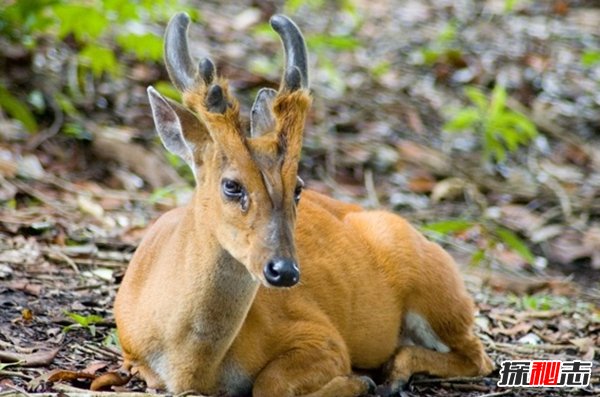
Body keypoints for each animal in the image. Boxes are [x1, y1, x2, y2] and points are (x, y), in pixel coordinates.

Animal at [113, 12, 496, 396]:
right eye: (232, 185)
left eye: (297, 187)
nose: (283, 271)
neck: (193, 366)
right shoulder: (132, 356)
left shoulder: (320, 334)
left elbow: (270, 384)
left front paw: (357, 382)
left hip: (435, 287)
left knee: (478, 357)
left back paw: (391, 374)